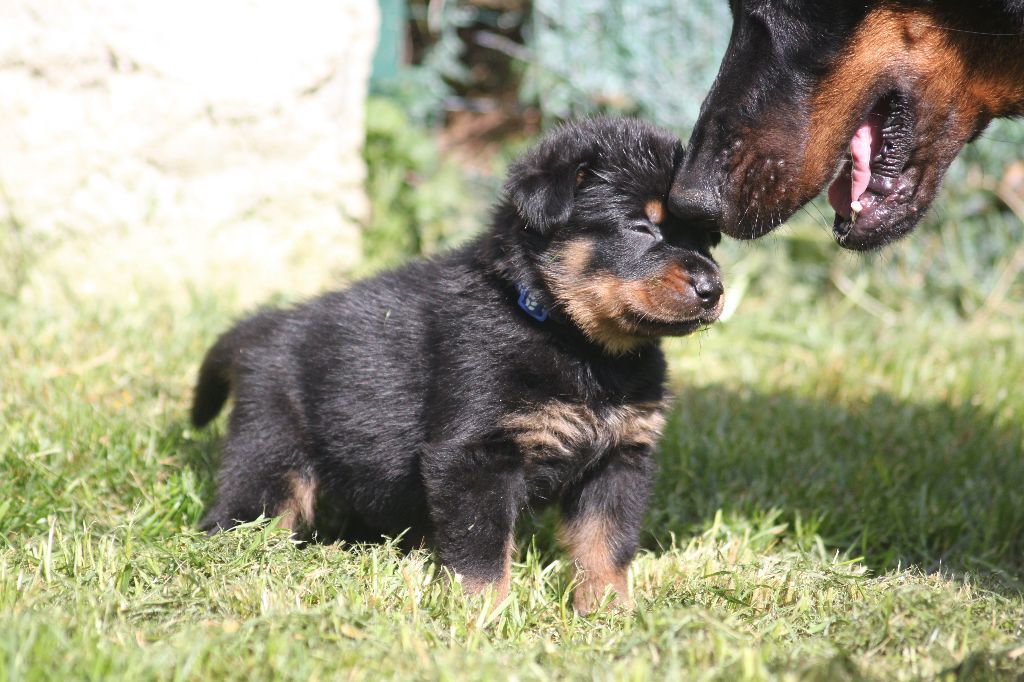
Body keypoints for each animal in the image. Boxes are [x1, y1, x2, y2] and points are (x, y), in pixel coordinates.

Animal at [190, 116, 720, 610]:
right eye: (640, 226)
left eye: (707, 240)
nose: (713, 289)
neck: (578, 344)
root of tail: (262, 328)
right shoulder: (473, 455)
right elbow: (481, 550)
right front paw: (481, 616)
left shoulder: (620, 456)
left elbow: (605, 544)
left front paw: (609, 613)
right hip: (270, 450)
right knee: (241, 514)